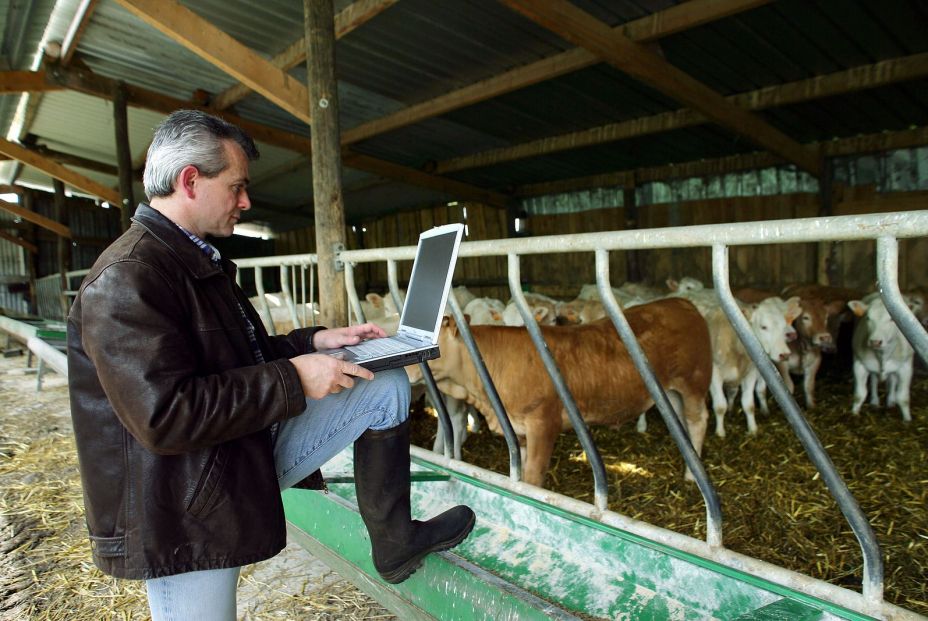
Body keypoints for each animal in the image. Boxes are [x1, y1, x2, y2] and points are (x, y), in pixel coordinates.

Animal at [424, 298, 716, 486]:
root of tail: (682, 303)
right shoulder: (518, 429)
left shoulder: (543, 423)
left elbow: (533, 477)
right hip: (671, 391)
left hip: (693, 380)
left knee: (698, 420)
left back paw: (693, 476)